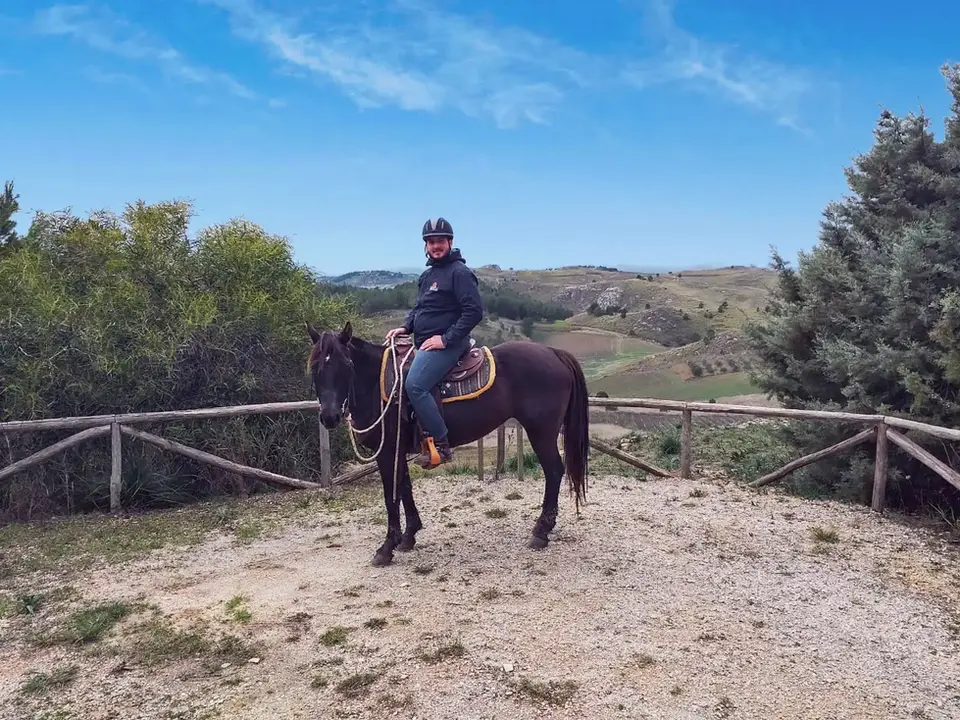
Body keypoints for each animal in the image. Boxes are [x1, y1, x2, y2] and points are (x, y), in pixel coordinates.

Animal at [306, 320, 589, 567]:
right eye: (315, 367)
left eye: (347, 364)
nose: (329, 416)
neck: (378, 385)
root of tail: (554, 352)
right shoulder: (400, 450)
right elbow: (405, 488)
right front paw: (409, 536)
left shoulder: (387, 452)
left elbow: (391, 496)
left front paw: (386, 548)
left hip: (541, 432)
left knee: (554, 472)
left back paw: (541, 532)